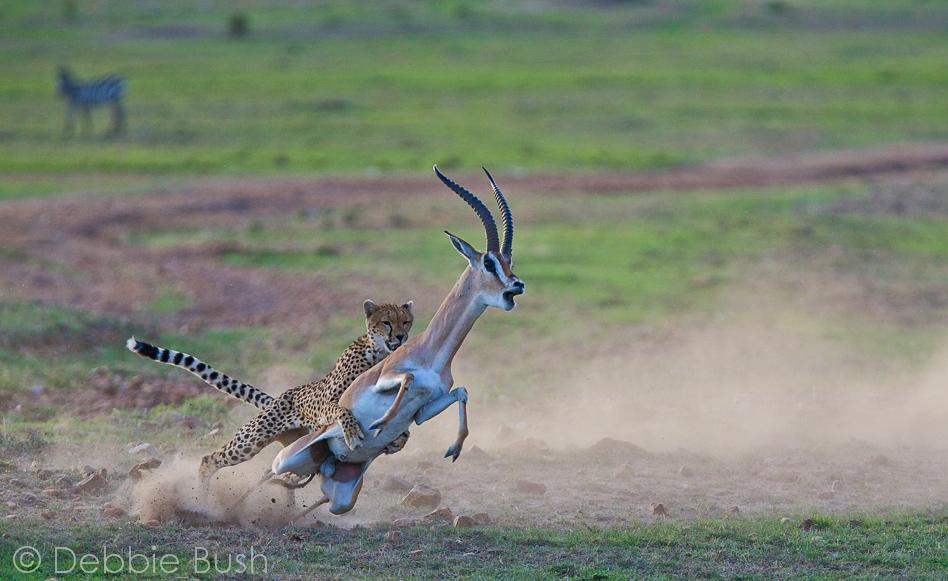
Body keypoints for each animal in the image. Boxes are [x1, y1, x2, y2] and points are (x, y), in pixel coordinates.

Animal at [126, 299, 414, 484]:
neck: (378, 353)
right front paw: (353, 433)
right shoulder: (324, 403)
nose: (401, 337)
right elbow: (341, 409)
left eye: (406, 322)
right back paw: (201, 498)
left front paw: (397, 441)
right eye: (387, 322)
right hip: (251, 440)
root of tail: (280, 398)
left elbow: (402, 428)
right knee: (210, 458)